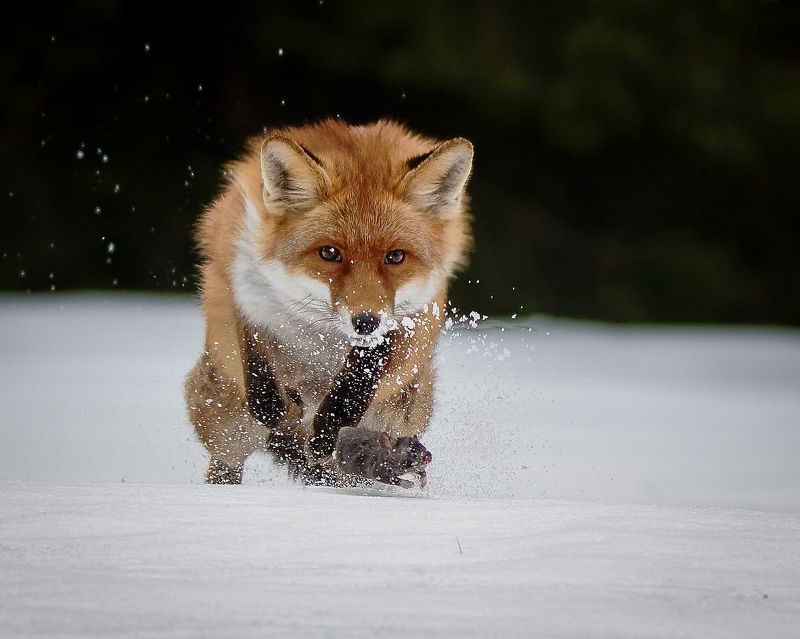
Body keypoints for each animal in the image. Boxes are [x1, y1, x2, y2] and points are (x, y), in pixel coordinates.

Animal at [184, 118, 473, 486]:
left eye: (395, 257)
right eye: (329, 253)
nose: (365, 322)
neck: (319, 332)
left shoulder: (412, 316)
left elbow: (357, 381)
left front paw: (327, 432)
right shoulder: (243, 280)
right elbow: (259, 370)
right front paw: (279, 412)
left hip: (405, 409)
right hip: (226, 427)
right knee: (229, 459)